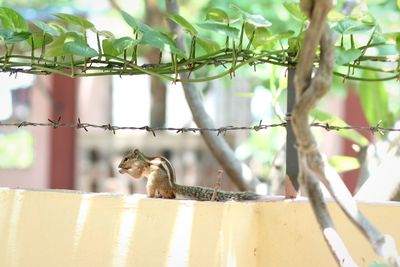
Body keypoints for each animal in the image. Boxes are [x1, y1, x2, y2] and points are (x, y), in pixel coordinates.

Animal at [117, 150, 260, 202]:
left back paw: (149, 196)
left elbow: (136, 175)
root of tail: (172, 185)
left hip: (152, 181)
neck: (141, 159)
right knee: (170, 195)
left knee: (167, 195)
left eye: (125, 158)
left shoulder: (140, 168)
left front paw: (122, 170)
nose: (119, 165)